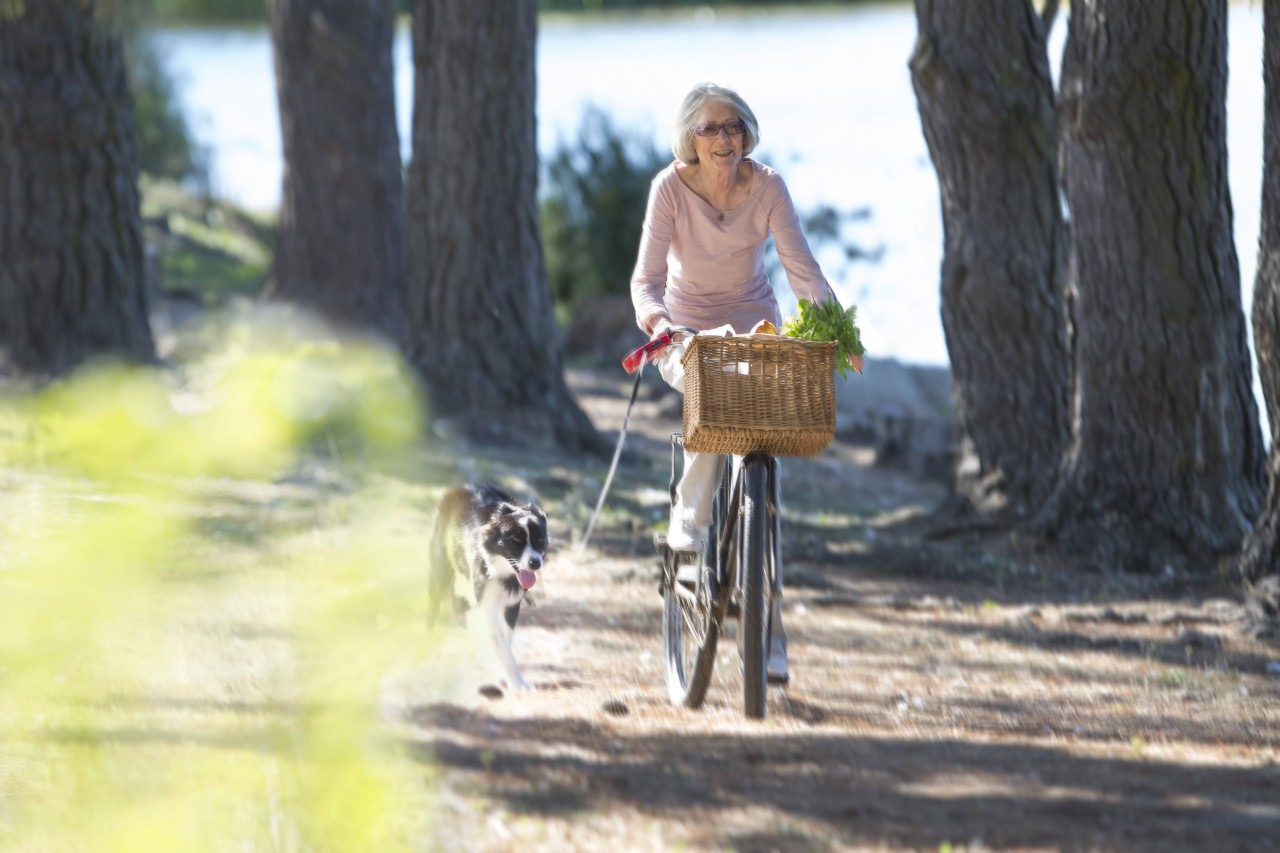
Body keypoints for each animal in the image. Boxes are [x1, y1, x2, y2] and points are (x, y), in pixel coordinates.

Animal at [427, 479, 547, 691]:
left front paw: (504, 674)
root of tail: (455, 488)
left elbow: (506, 641)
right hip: (439, 572)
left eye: (540, 540)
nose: (535, 563)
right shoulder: (487, 605)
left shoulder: (512, 604)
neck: (503, 572)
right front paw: (518, 682)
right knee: (432, 606)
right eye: (516, 540)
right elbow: (501, 643)